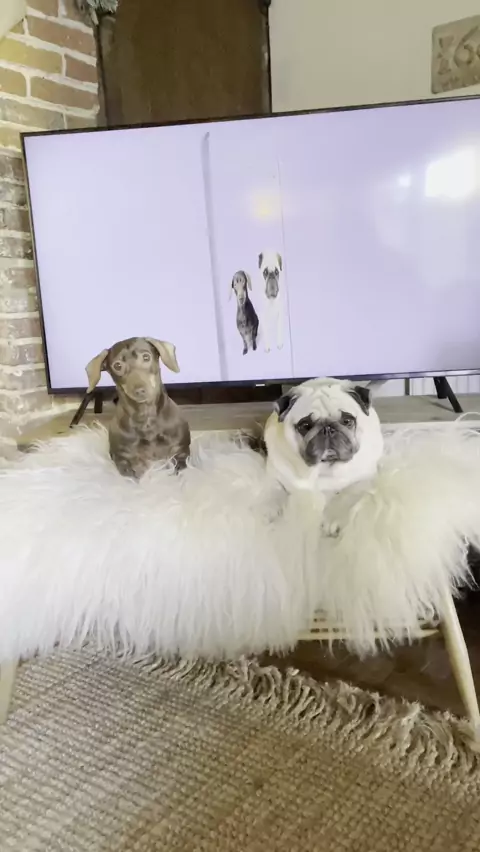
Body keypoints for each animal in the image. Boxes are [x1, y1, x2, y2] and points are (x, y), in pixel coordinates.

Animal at [85, 337, 191, 479]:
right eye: (117, 365)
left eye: (146, 357)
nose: (140, 390)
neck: (145, 417)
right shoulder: (122, 458)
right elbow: (131, 476)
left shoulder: (180, 451)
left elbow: (180, 467)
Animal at [263, 378, 384, 534]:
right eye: (305, 425)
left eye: (347, 421)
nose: (327, 429)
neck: (324, 467)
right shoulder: (274, 473)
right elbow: (272, 489)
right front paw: (266, 509)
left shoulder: (364, 479)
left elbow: (347, 494)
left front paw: (332, 518)